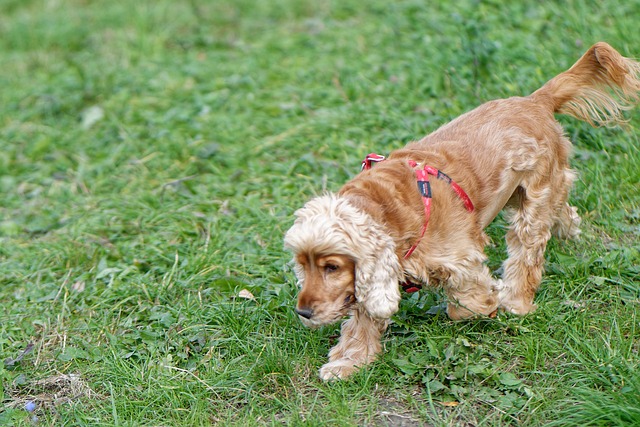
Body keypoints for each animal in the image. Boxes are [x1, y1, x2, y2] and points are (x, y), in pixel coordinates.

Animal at [284, 41, 640, 380]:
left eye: (332, 267)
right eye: (302, 263)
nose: (303, 312)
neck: (387, 207)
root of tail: (535, 101)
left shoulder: (460, 260)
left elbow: (466, 305)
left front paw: (491, 300)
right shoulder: (371, 280)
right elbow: (363, 319)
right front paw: (347, 363)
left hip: (532, 202)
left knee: (527, 252)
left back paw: (515, 301)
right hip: (523, 194)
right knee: (562, 203)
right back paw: (570, 231)